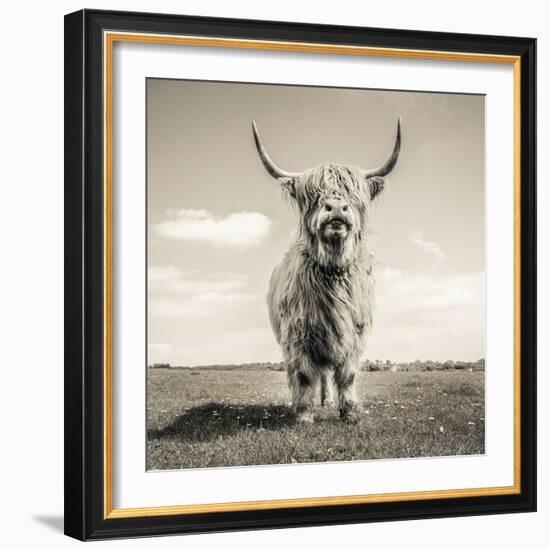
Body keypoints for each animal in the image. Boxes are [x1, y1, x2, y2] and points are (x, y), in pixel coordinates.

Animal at [253, 118, 402, 424]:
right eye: (312, 195)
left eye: (355, 195)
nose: (336, 208)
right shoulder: (298, 335)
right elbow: (304, 375)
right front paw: (303, 414)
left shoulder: (354, 334)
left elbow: (347, 375)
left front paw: (350, 413)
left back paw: (328, 400)